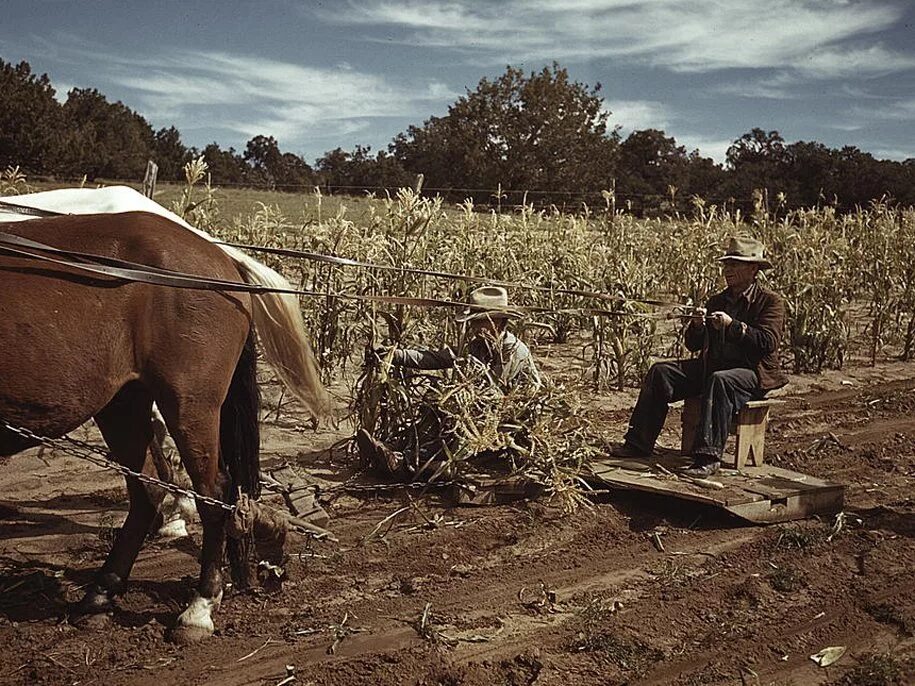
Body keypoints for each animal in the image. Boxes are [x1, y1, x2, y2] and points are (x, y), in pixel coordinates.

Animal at [0, 210, 328, 644]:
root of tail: (220, 257)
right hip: (123, 402)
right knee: (148, 494)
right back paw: (100, 595)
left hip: (190, 404)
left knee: (213, 495)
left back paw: (199, 609)